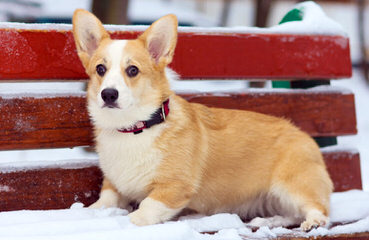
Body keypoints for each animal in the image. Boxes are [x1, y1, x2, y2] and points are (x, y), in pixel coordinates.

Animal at [72, 9, 334, 231]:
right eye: (100, 69)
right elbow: (104, 201)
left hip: (292, 186)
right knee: (291, 214)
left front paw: (128, 222)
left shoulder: (174, 188)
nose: (108, 94)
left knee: (318, 209)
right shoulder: (115, 186)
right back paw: (268, 221)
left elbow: (144, 209)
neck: (133, 128)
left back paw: (313, 223)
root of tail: (304, 135)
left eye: (133, 70)